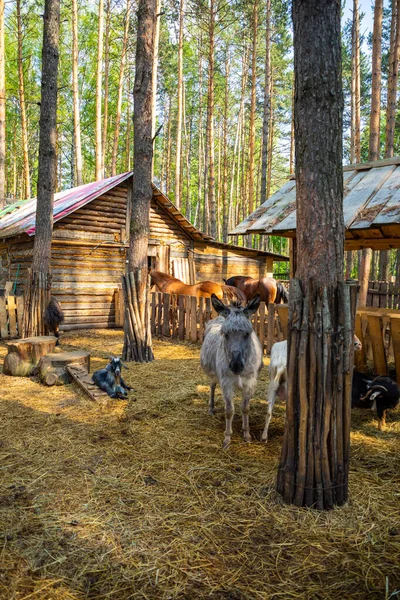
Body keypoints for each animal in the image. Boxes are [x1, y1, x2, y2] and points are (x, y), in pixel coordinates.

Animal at [200, 292, 262, 448]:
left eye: (247, 333)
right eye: (225, 334)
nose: (236, 365)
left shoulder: (249, 382)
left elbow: (245, 408)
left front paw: (246, 434)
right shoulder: (226, 382)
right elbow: (229, 410)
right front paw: (227, 438)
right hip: (214, 374)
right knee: (212, 386)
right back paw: (211, 408)